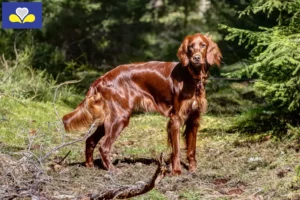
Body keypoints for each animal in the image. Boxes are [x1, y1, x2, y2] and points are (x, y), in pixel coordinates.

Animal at [62, 32, 221, 173]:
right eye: (191, 47)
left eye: (203, 45)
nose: (196, 58)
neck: (192, 77)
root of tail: (103, 78)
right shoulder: (176, 118)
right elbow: (176, 150)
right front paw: (176, 171)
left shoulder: (194, 119)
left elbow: (191, 149)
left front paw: (193, 170)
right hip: (120, 117)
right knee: (104, 146)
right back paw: (112, 170)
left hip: (110, 118)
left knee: (90, 140)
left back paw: (89, 165)